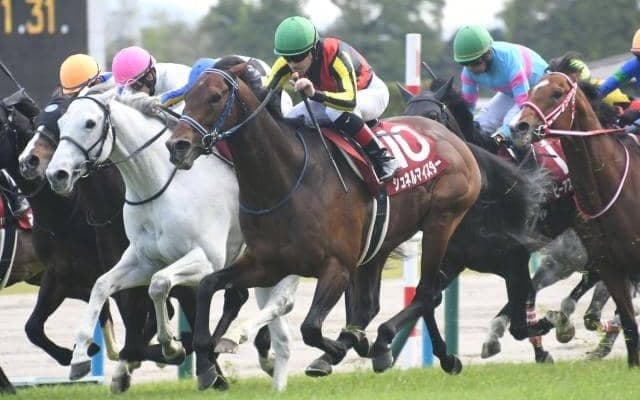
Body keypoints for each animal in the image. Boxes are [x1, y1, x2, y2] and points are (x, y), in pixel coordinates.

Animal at [44, 89, 298, 391]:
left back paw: (234, 342)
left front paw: (172, 347)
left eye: (90, 123)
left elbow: (159, 285)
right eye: (61, 124)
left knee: (282, 302)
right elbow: (102, 285)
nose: (56, 175)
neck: (160, 186)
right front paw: (81, 357)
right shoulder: (144, 260)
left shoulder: (206, 260)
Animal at [162, 55, 483, 384]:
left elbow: (310, 327)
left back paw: (395, 345)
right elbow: (208, 284)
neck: (286, 179)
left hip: (441, 222)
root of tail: (450, 137)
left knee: (427, 292)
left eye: (215, 97)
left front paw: (344, 347)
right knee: (376, 303)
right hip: (380, 242)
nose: (177, 146)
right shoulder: (266, 264)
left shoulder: (336, 267)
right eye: (188, 96)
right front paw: (206, 364)